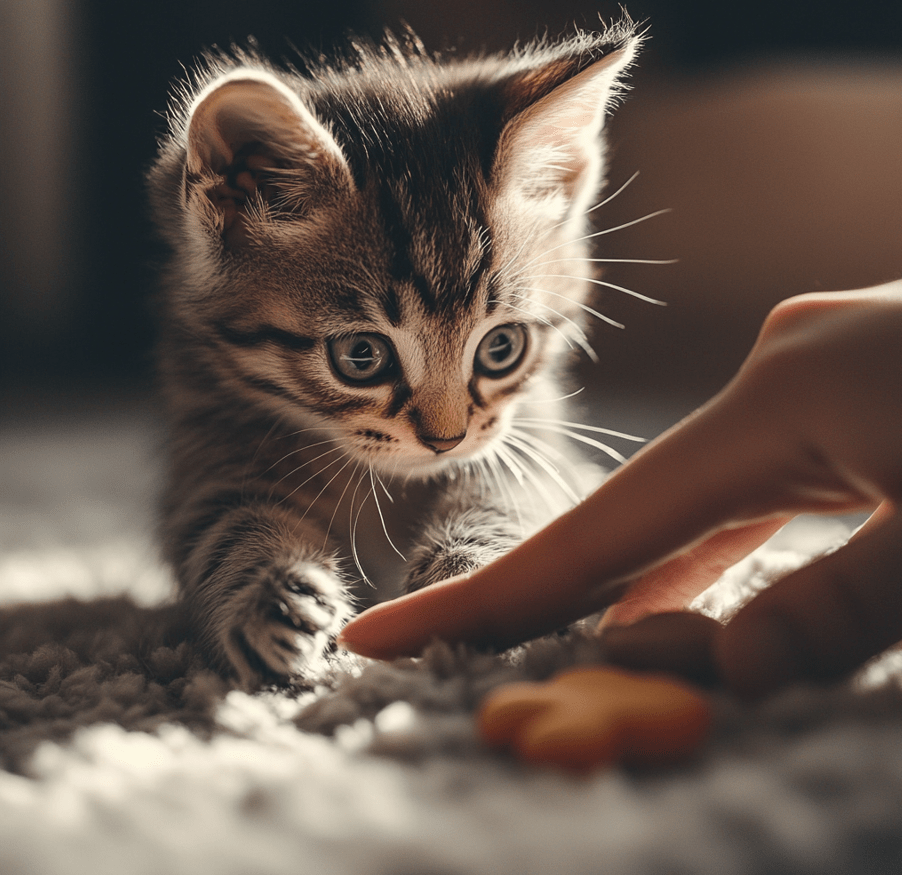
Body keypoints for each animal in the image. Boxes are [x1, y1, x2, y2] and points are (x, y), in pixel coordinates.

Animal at [150, 18, 644, 692]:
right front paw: (272, 596)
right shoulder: (209, 443)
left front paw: (470, 580)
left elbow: (514, 497)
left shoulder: (531, 440)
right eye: (361, 355)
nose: (445, 440)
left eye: (502, 347)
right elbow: (222, 527)